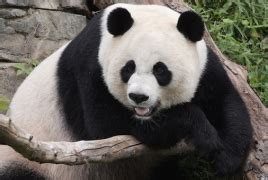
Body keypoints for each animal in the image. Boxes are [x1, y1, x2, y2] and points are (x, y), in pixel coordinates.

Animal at [0, 3, 252, 180]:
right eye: (128, 68)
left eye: (160, 70)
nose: (138, 97)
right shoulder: (91, 64)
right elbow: (107, 125)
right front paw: (205, 134)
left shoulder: (204, 65)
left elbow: (226, 101)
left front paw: (227, 158)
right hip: (27, 159)